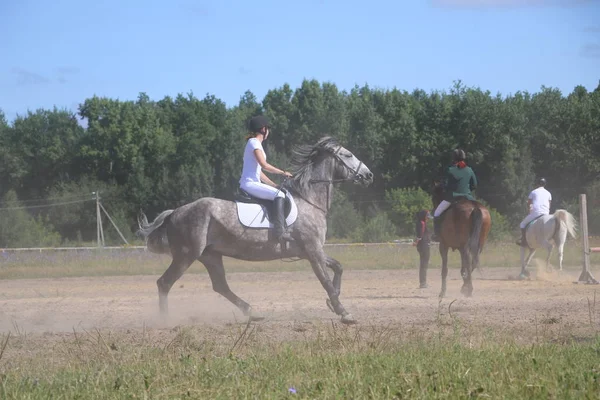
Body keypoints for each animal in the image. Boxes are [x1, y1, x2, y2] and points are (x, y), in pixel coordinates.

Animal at [138, 138, 372, 324]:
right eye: (348, 155)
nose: (369, 175)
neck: (309, 200)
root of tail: (175, 212)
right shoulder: (313, 250)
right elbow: (326, 281)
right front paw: (344, 312)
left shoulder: (311, 251)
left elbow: (338, 268)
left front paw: (333, 303)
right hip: (187, 254)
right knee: (165, 283)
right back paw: (165, 320)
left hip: (210, 255)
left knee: (220, 286)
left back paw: (252, 312)